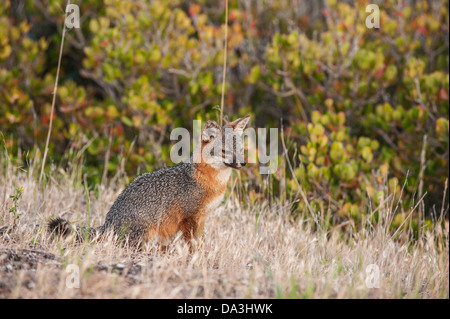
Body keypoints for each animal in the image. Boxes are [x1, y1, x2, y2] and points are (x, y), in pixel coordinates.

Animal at [50, 116, 253, 249]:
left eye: (241, 150)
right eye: (225, 151)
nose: (243, 163)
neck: (211, 182)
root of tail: (108, 222)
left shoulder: (201, 218)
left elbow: (201, 243)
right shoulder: (189, 218)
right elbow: (193, 246)